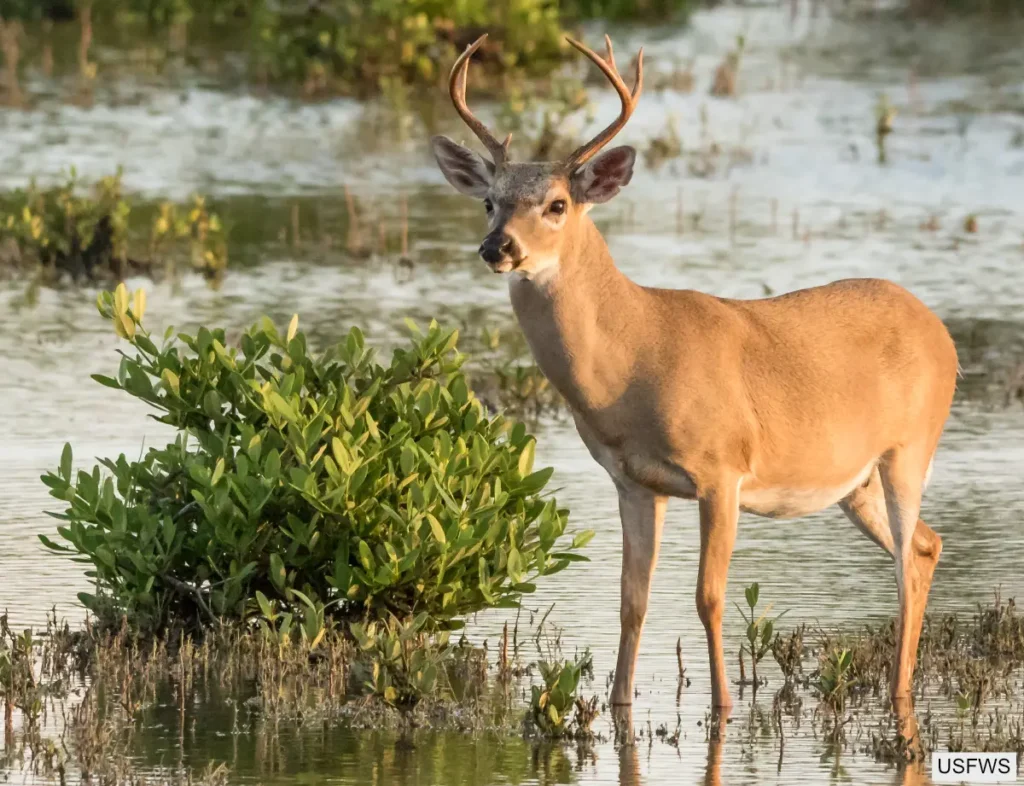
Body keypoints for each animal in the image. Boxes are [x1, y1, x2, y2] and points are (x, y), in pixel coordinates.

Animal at [431, 33, 957, 712]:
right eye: (490, 201)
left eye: (557, 204)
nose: (498, 247)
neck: (633, 359)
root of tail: (939, 330)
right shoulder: (632, 481)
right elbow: (631, 601)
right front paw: (619, 702)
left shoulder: (721, 469)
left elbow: (708, 597)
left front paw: (724, 706)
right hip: (855, 482)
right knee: (925, 546)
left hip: (909, 449)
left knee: (905, 564)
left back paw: (898, 692)